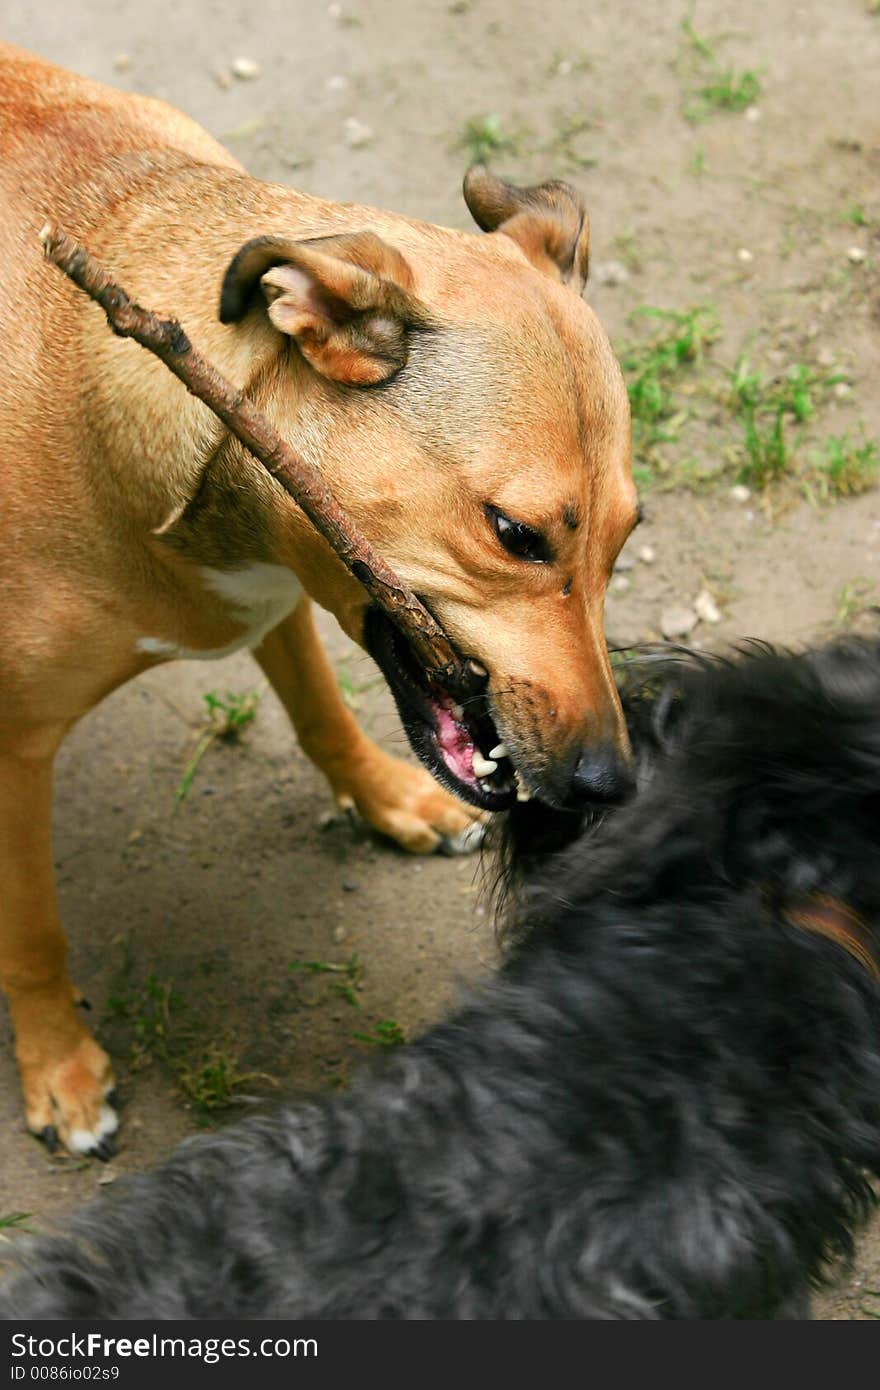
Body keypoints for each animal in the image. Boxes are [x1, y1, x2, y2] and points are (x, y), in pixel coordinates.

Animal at [0, 43, 633, 1156]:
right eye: (514, 535)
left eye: (628, 534)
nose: (609, 784)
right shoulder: (12, 748)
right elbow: (32, 927)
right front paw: (59, 1069)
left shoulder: (281, 596)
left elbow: (321, 712)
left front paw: (391, 800)